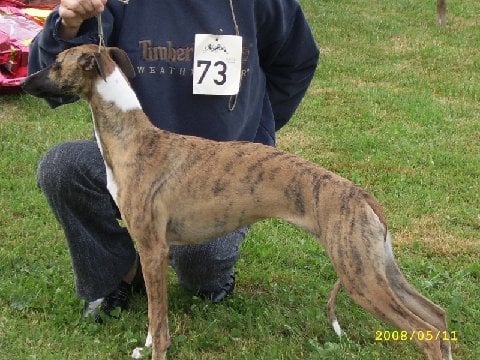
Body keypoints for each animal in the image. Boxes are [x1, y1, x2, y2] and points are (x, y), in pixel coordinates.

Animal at [22, 45, 452, 360]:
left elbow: (159, 322)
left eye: (56, 63)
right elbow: (154, 320)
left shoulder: (153, 249)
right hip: (379, 267)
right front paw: (144, 345)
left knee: (426, 333)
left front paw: (156, 350)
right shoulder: (148, 249)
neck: (133, 138)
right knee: (437, 316)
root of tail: (362, 196)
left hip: (359, 276)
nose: (25, 82)